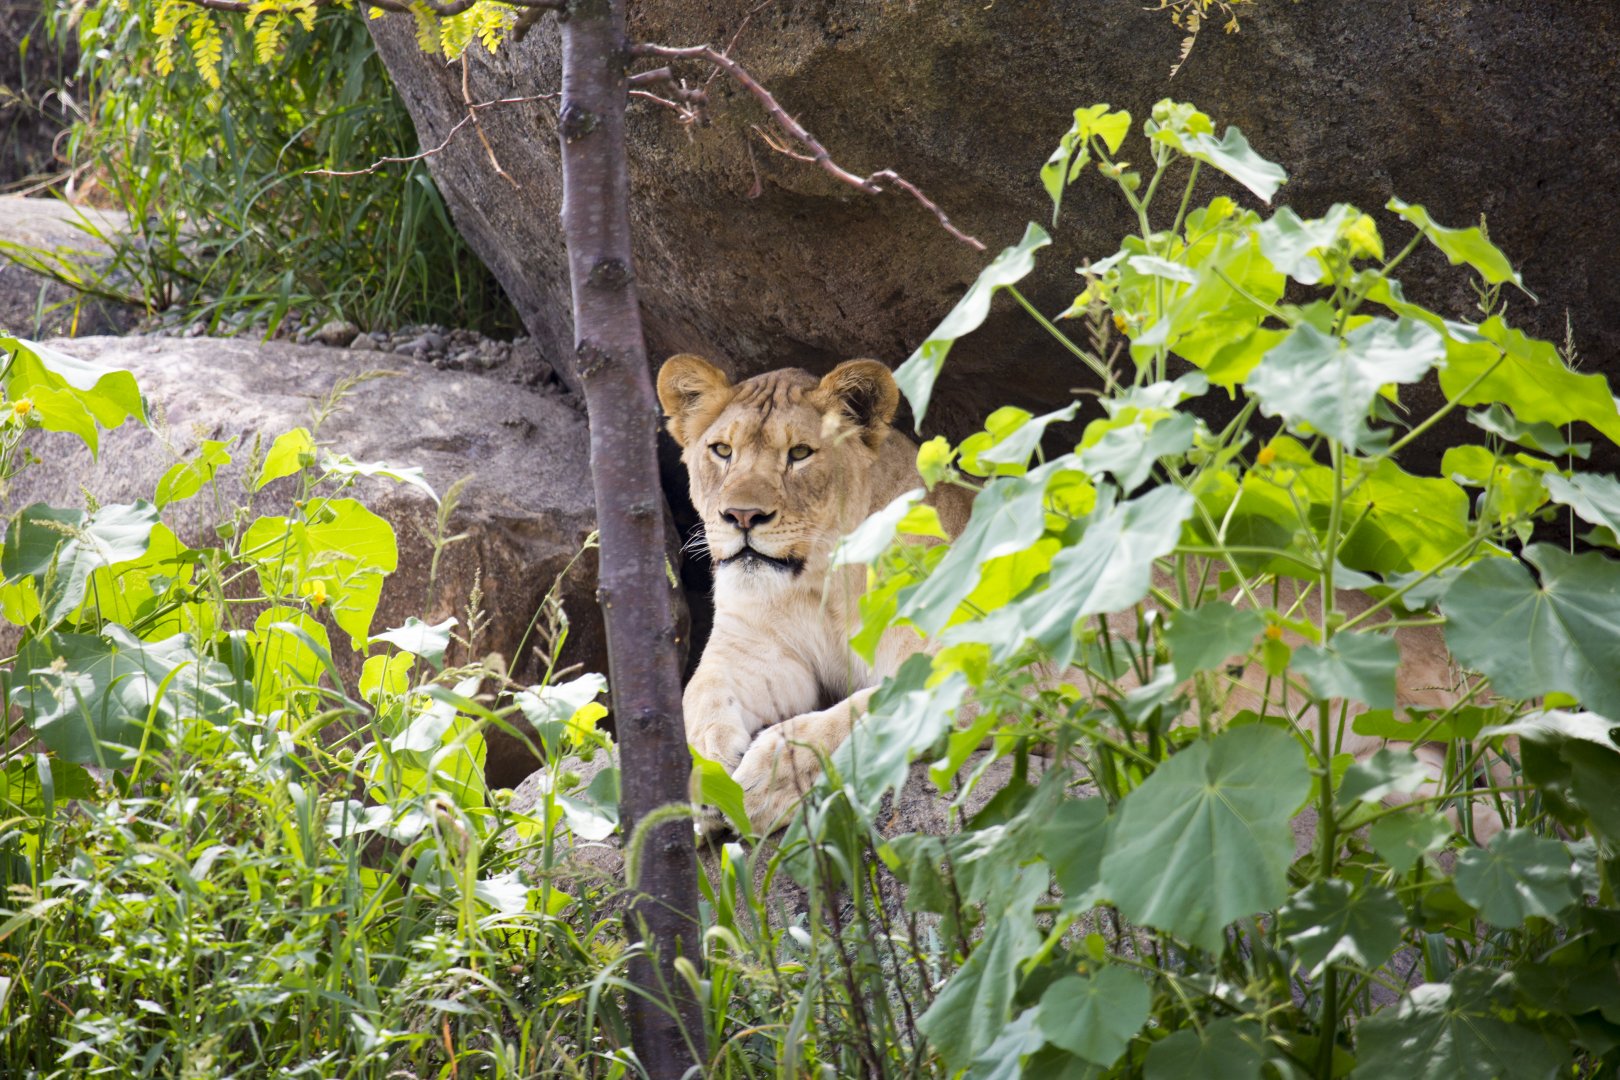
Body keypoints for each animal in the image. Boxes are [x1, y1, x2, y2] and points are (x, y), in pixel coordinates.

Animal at [658, 354, 1504, 840]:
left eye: (800, 454)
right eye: (720, 450)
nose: (741, 518)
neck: (821, 581)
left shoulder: (993, 668)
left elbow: (847, 722)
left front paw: (760, 782)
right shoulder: (753, 649)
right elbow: (694, 701)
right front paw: (702, 779)